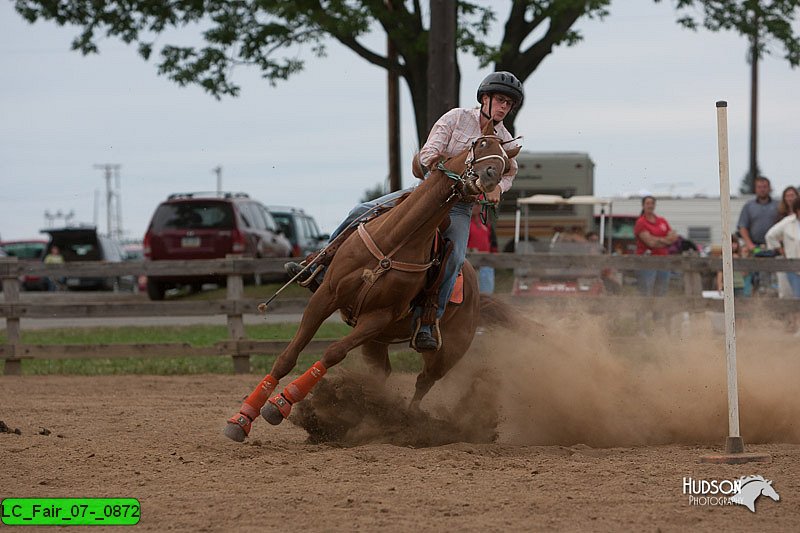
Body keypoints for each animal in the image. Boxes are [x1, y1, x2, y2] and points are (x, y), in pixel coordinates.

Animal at [225, 119, 520, 440]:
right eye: (480, 144)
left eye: (506, 165)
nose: (490, 176)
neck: (397, 239)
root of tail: (479, 296)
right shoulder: (326, 296)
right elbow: (288, 356)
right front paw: (243, 417)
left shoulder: (377, 317)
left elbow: (333, 353)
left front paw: (281, 404)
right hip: (377, 343)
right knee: (384, 375)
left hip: (445, 352)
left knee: (423, 381)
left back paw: (409, 422)